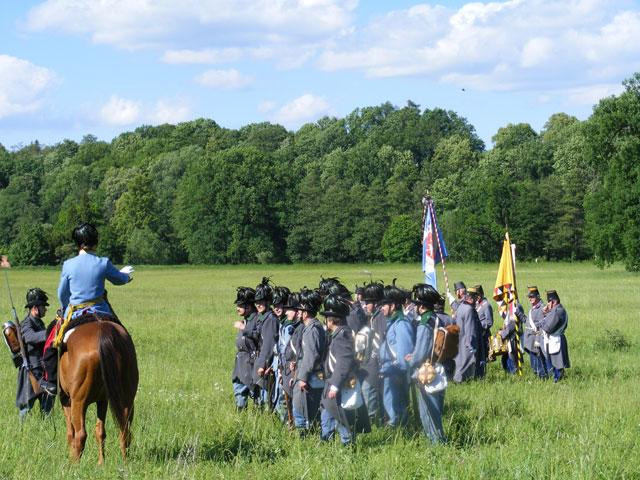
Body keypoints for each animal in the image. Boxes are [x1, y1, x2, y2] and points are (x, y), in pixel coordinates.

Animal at [59, 318, 139, 464]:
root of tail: (103, 331)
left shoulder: (66, 402)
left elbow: (70, 433)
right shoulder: (102, 401)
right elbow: (100, 432)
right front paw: (101, 462)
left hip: (78, 403)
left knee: (80, 435)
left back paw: (74, 465)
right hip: (126, 399)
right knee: (124, 430)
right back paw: (125, 462)